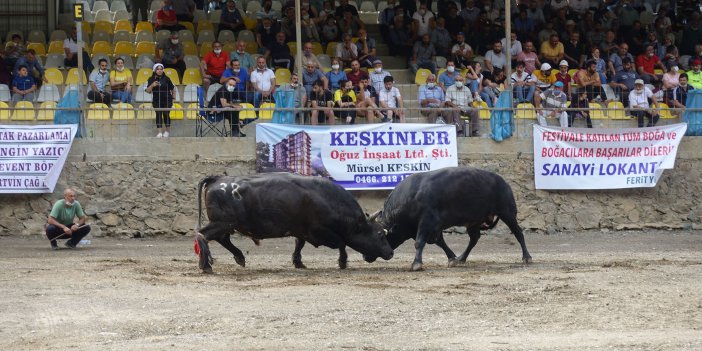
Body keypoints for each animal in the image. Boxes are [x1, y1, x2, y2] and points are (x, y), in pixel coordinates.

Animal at [195, 175, 396, 274]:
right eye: (380, 234)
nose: (391, 252)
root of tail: (217, 180)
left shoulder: (302, 230)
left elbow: (299, 243)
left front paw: (298, 262)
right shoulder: (319, 231)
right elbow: (341, 242)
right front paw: (342, 261)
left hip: (225, 224)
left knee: (221, 239)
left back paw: (238, 257)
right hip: (223, 222)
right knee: (202, 234)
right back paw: (206, 265)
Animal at [368, 168, 532, 272]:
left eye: (381, 235)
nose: (366, 256)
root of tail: (503, 181)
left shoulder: (427, 222)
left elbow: (419, 242)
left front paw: (416, 264)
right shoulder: (433, 227)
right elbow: (440, 242)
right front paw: (452, 258)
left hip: (507, 213)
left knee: (518, 233)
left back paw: (527, 257)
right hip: (474, 222)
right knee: (474, 239)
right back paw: (461, 258)